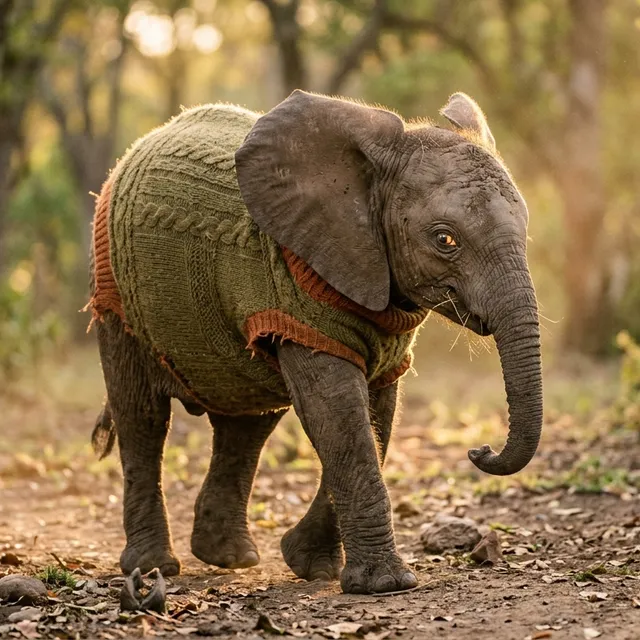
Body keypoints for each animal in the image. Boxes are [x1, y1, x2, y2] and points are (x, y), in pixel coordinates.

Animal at [88, 90, 542, 595]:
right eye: (445, 239)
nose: (479, 450)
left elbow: (376, 417)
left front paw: (313, 567)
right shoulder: (298, 298)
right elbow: (337, 413)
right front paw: (385, 585)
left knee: (248, 423)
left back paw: (228, 557)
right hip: (117, 297)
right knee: (142, 416)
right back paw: (154, 567)